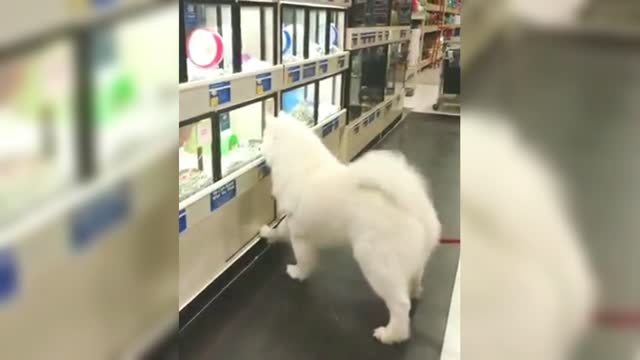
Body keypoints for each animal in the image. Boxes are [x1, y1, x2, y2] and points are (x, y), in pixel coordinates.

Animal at [258, 114, 440, 344]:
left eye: (264, 136)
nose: (258, 147)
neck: (302, 165)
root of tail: (415, 206)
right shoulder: (290, 223)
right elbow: (279, 230)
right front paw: (267, 232)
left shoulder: (300, 235)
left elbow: (303, 260)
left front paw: (297, 273)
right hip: (411, 261)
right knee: (415, 279)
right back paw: (414, 292)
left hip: (376, 262)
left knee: (400, 304)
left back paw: (390, 334)